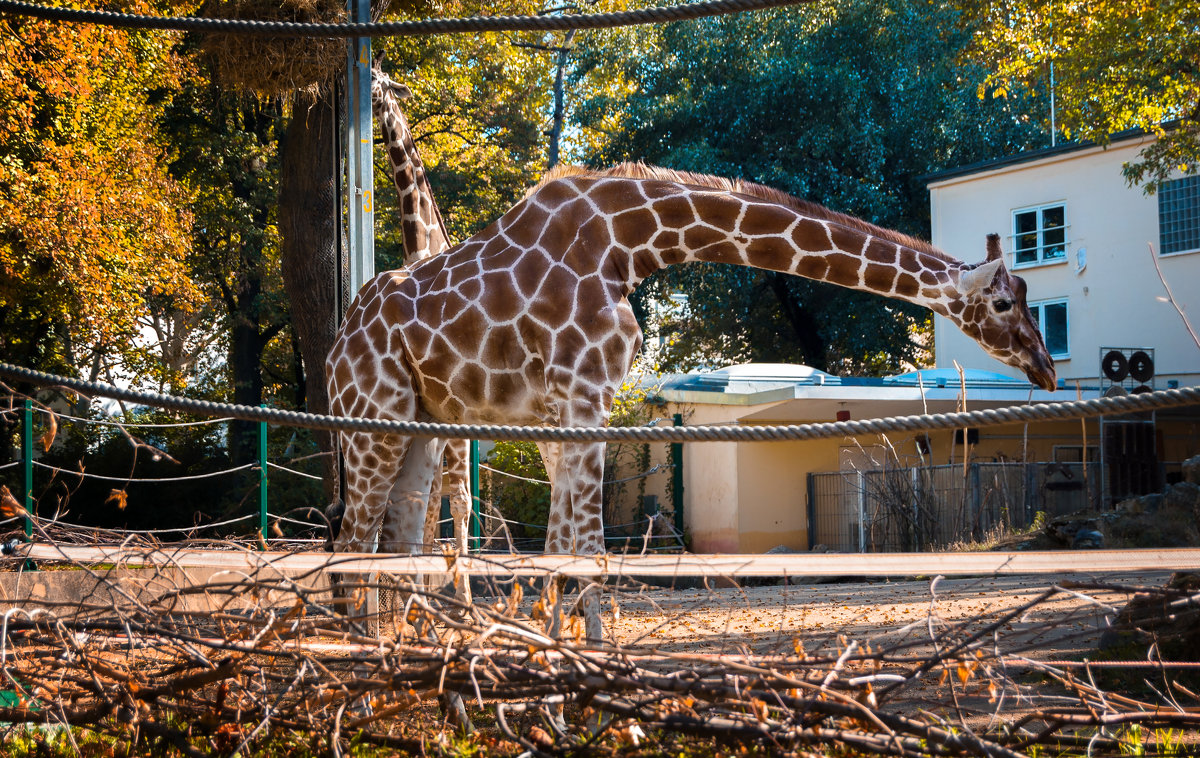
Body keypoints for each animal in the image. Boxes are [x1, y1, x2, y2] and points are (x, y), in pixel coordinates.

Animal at [326, 163, 1051, 638]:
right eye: (1004, 303)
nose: (1044, 367)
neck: (630, 241)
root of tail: (337, 348)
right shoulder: (583, 395)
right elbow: (585, 543)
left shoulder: (568, 407)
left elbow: (567, 542)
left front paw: (566, 652)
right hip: (372, 418)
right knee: (356, 536)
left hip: (419, 426)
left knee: (393, 535)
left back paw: (398, 650)